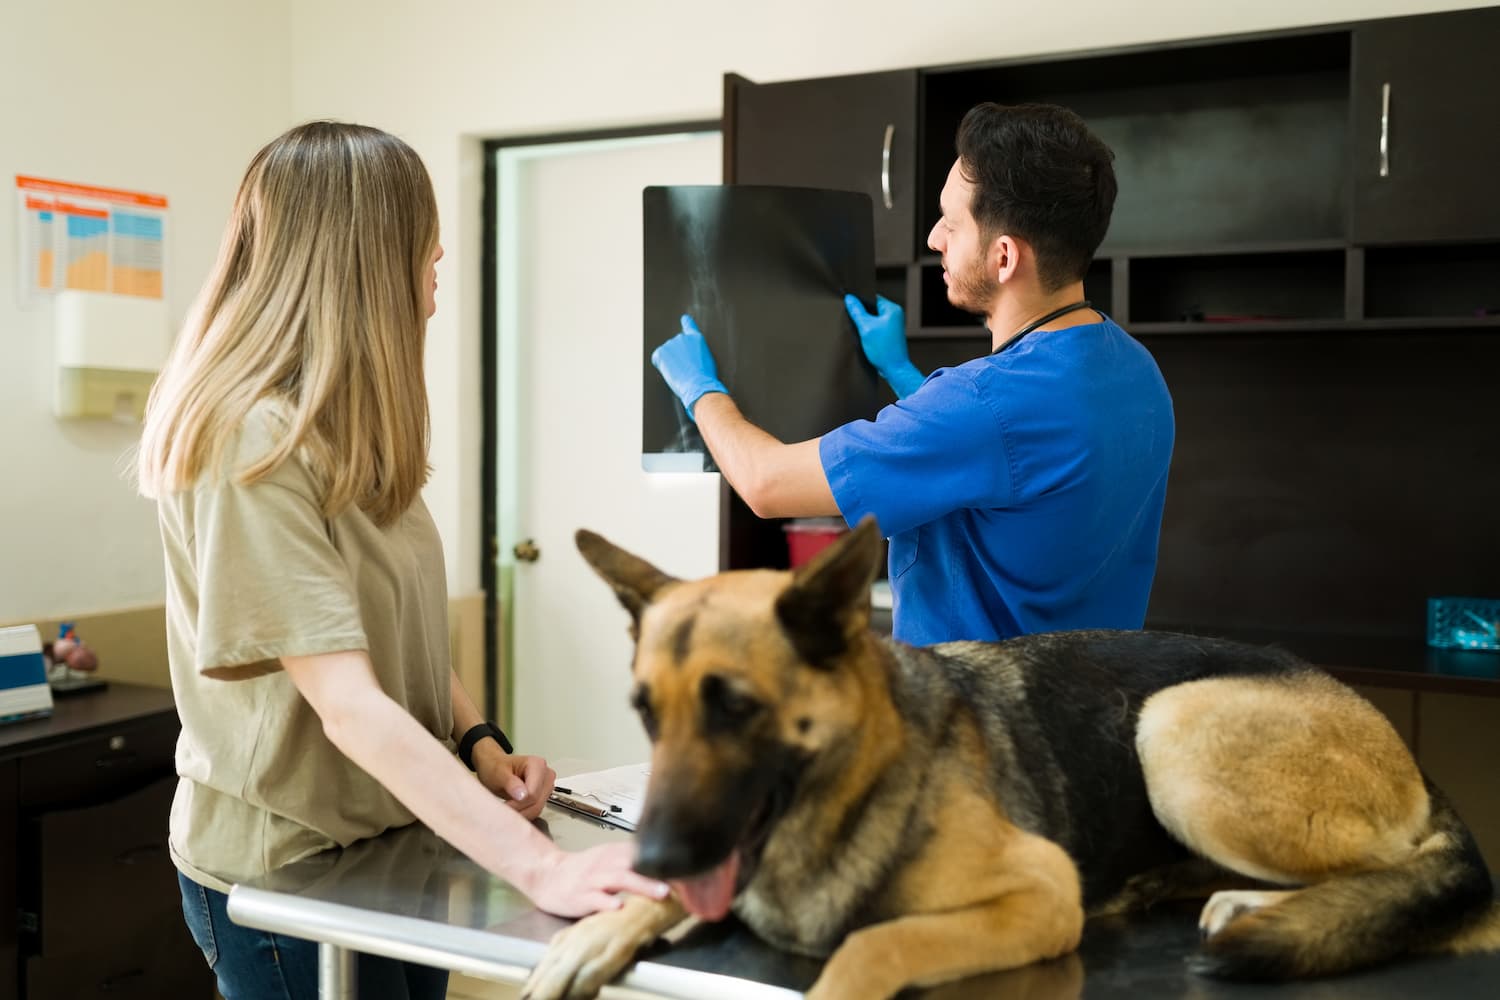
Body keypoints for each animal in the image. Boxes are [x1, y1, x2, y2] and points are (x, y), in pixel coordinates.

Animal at [525, 521, 1500, 995]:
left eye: (736, 708)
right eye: (646, 713)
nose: (653, 854)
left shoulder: (1038, 896)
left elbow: (872, 947)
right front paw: (609, 924)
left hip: (1172, 730)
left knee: (1416, 872)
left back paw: (1255, 905)